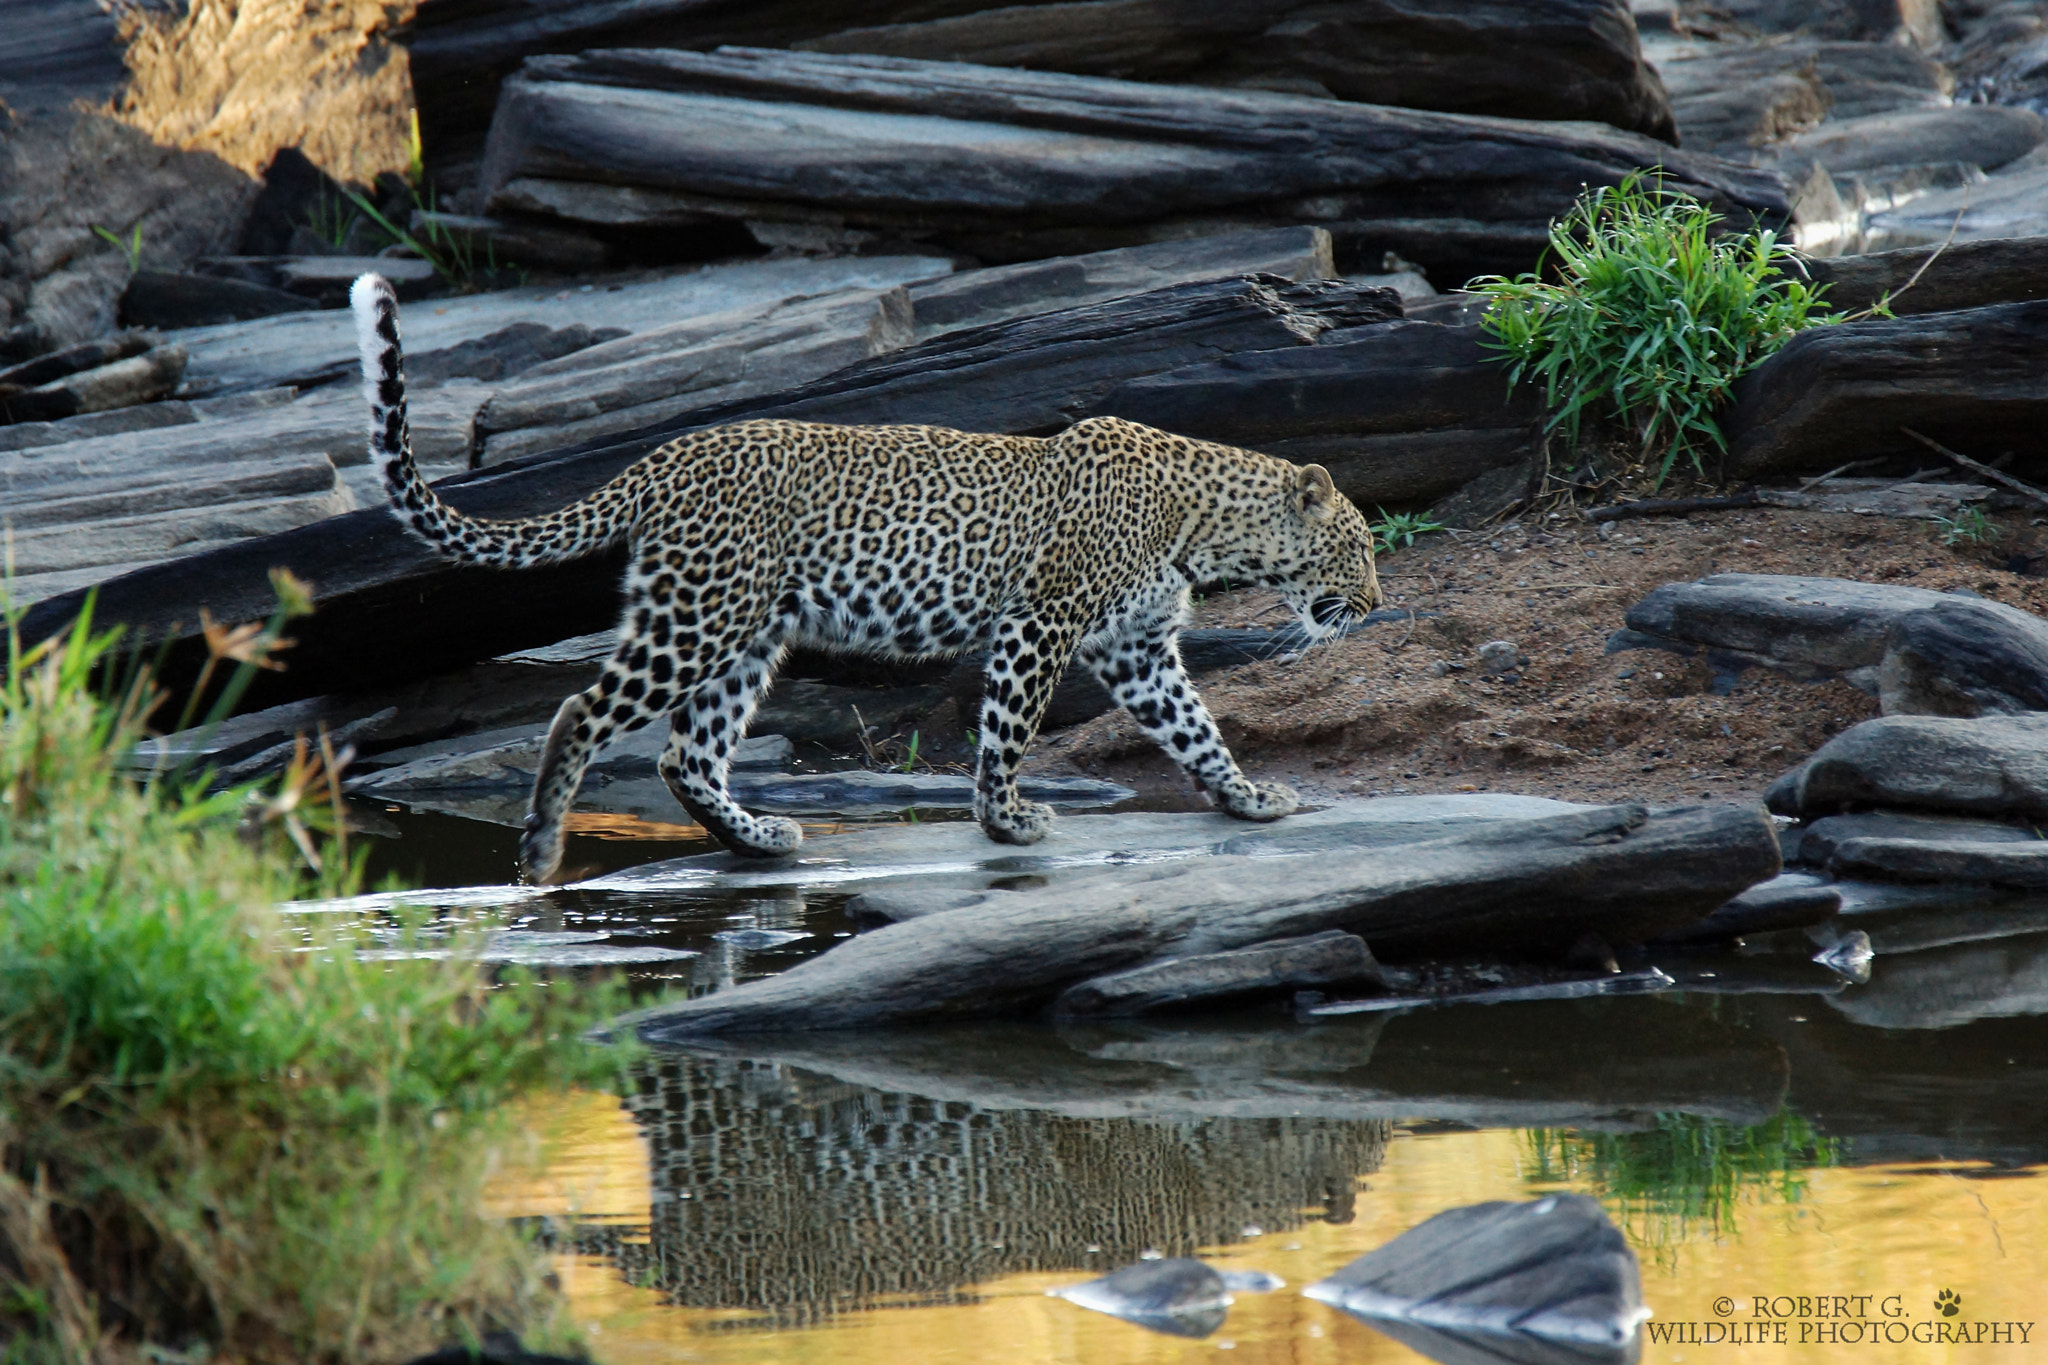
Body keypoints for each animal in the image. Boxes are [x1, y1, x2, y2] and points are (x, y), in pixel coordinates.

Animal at [352, 272, 1384, 888]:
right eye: (1362, 548)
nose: (1377, 605)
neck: (1204, 524)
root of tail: (664, 454)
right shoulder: (1041, 621)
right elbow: (1008, 727)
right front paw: (1006, 821)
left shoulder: (1138, 647)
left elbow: (1195, 728)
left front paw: (1248, 799)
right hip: (699, 618)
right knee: (584, 710)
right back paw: (539, 848)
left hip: (745, 634)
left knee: (686, 753)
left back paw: (759, 839)